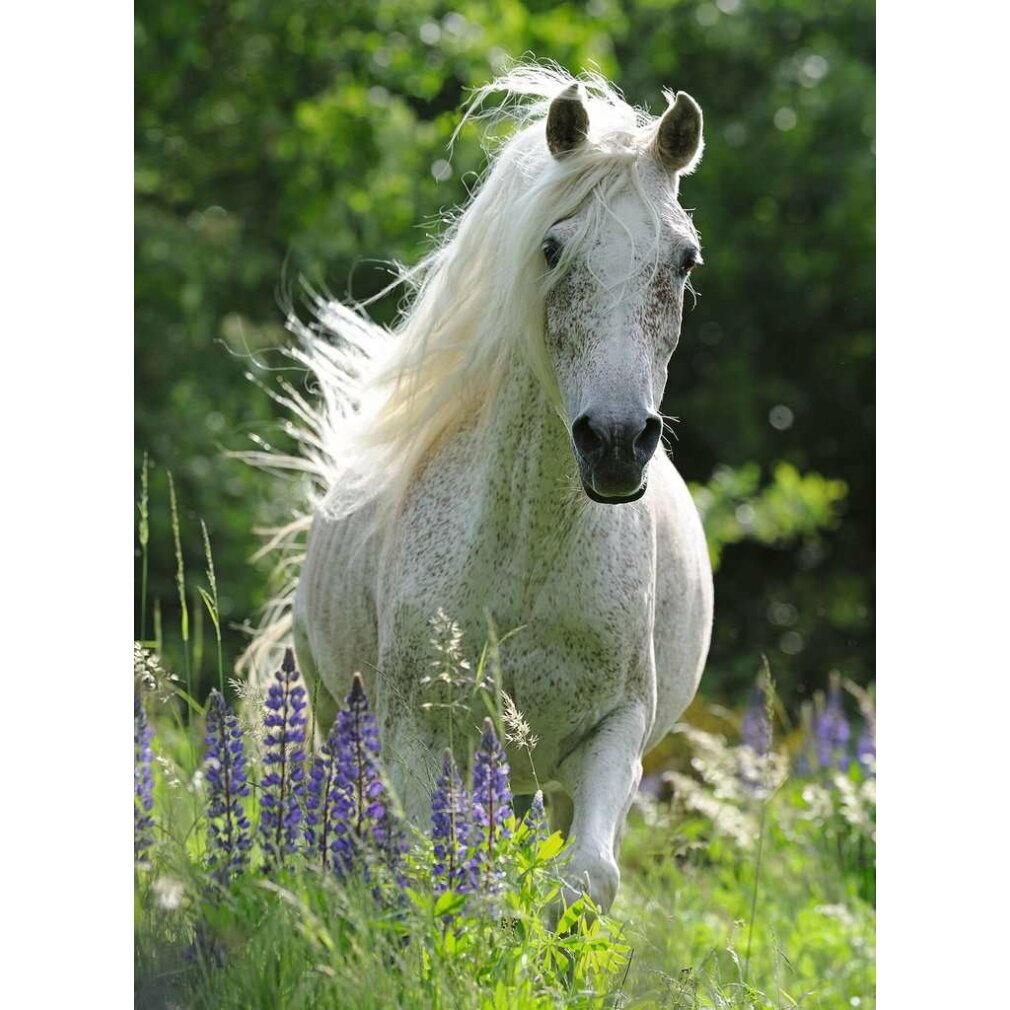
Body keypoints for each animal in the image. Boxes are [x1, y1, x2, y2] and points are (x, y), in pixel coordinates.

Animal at [249, 66, 713, 913]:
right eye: (552, 247)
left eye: (684, 260)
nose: (616, 444)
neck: (527, 553)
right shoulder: (414, 731)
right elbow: (427, 873)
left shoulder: (613, 733)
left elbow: (586, 878)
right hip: (336, 712)